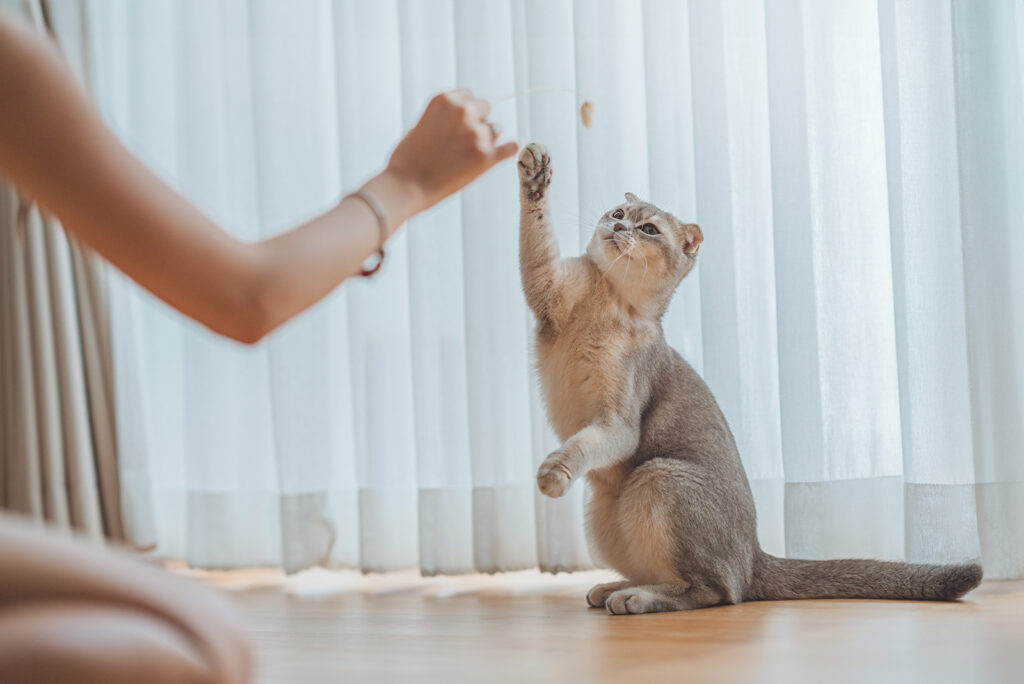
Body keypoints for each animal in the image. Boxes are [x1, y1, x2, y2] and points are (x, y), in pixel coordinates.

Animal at [520, 143, 983, 614]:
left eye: (648, 228)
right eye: (618, 211)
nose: (617, 225)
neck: (609, 302)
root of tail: (755, 554)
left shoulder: (619, 423)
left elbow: (579, 447)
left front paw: (553, 473)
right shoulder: (548, 289)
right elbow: (536, 237)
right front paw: (535, 175)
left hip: (659, 476)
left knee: (717, 591)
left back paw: (636, 597)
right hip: (603, 512)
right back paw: (613, 587)